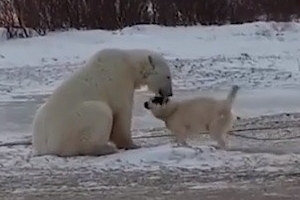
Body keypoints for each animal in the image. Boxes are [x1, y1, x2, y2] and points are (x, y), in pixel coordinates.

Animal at [31, 48, 172, 156]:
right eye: (168, 76)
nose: (170, 93)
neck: (129, 63)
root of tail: (47, 146)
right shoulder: (119, 81)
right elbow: (122, 113)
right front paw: (132, 144)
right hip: (73, 123)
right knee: (101, 112)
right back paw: (104, 148)